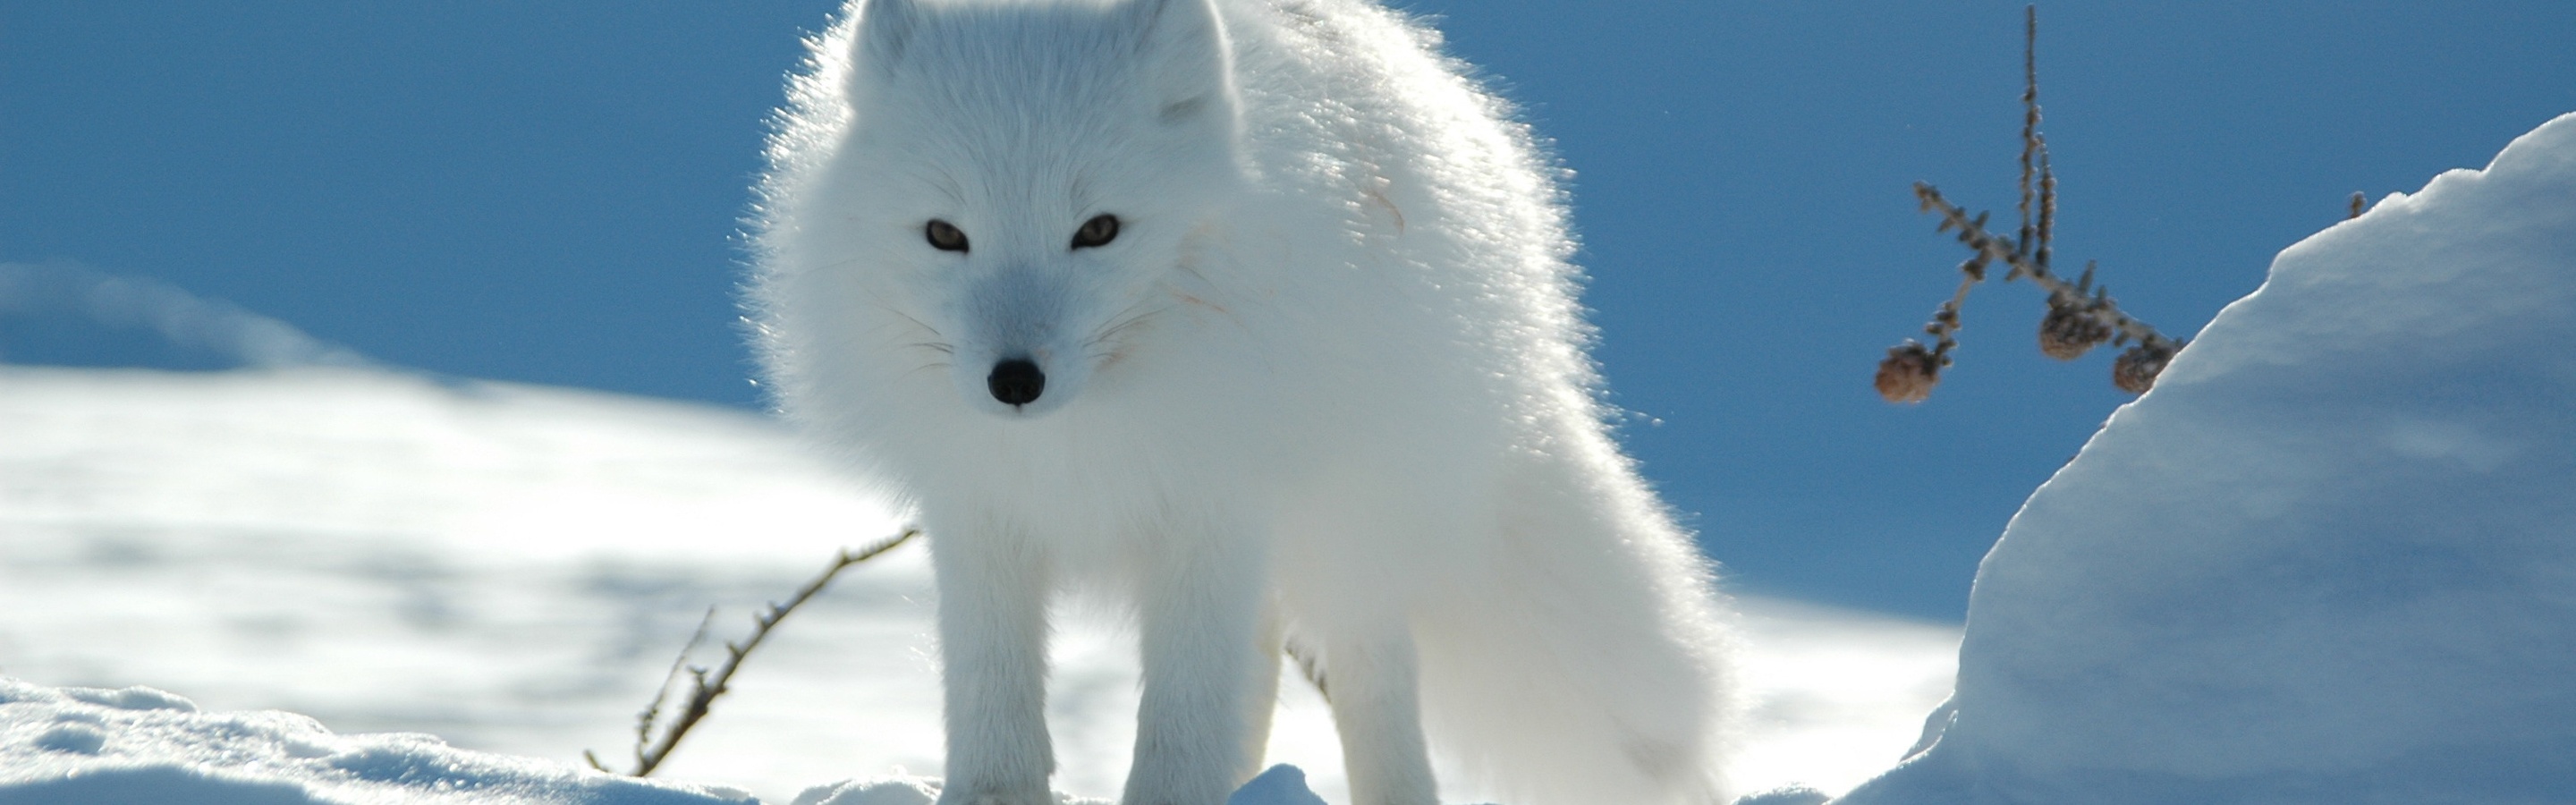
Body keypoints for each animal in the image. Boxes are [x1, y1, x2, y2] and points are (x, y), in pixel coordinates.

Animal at [751, 1, 1741, 805]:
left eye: (1098, 230)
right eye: (944, 235)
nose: (1014, 381)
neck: (1083, 435)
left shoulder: (1214, 503)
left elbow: (1184, 713)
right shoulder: (980, 512)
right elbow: (994, 698)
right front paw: (992, 796)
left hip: (1349, 529)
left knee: (1371, 678)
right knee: (1260, 669)